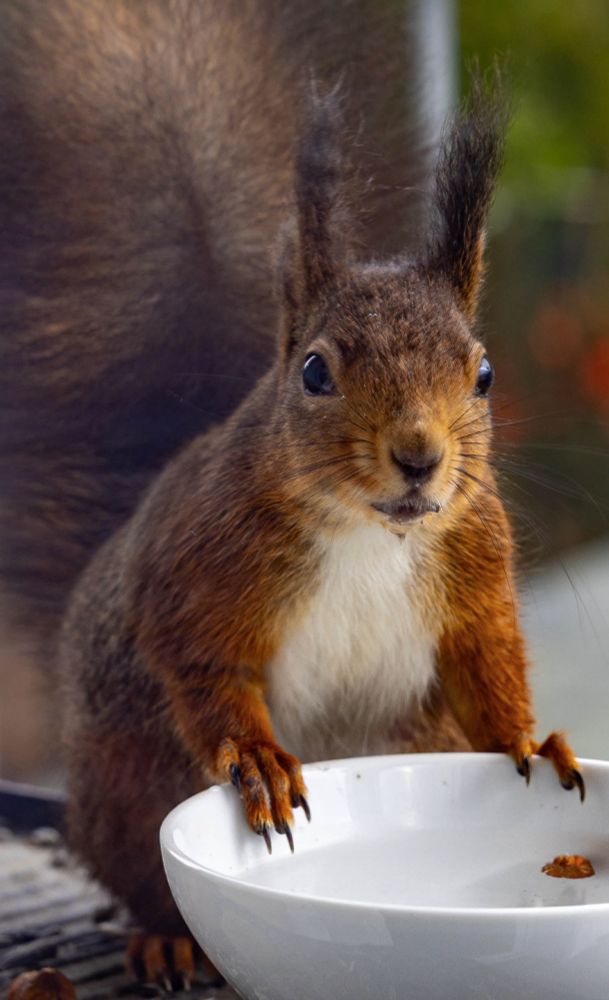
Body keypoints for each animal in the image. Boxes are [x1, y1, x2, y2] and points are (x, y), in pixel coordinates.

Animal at [0, 0, 583, 983]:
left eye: (484, 374)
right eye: (314, 372)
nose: (419, 456)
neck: (369, 532)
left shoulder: (474, 566)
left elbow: (488, 662)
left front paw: (528, 739)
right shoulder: (197, 571)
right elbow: (203, 667)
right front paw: (262, 761)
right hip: (130, 786)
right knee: (146, 886)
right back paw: (165, 937)